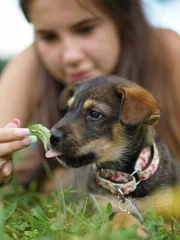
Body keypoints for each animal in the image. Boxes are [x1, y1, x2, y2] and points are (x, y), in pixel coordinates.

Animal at [45, 76, 180, 237]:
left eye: (94, 114)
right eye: (67, 109)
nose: (52, 136)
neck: (125, 180)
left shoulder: (167, 208)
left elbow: (166, 225)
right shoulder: (101, 207)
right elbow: (118, 214)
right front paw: (133, 229)